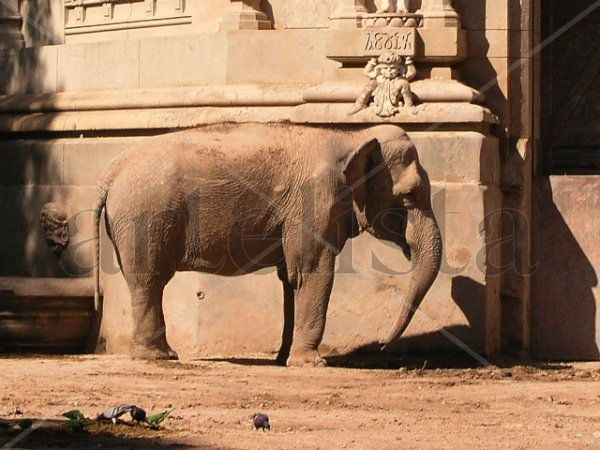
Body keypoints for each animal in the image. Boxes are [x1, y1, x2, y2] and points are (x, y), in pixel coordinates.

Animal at [92, 122, 440, 366]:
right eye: (408, 196)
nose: (382, 345)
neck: (350, 136)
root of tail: (110, 173)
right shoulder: (313, 203)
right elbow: (313, 271)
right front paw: (312, 364)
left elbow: (291, 278)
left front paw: (285, 359)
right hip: (146, 217)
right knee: (149, 280)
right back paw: (158, 357)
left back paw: (161, 354)